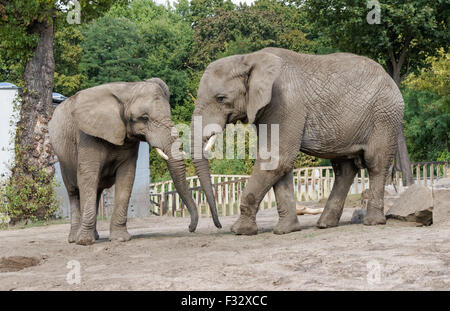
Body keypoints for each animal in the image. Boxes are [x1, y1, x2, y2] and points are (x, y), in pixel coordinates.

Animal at [48, 78, 200, 246]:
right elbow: (88, 177)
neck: (127, 89)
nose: (190, 228)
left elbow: (126, 177)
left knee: (96, 191)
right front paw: (84, 242)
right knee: (74, 191)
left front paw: (120, 239)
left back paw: (94, 236)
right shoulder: (87, 136)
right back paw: (74, 239)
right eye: (144, 118)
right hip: (63, 156)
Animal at [192, 47, 402, 235]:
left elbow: (277, 158)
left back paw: (372, 222)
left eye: (221, 98)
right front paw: (286, 230)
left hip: (384, 116)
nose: (218, 225)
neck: (248, 58)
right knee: (343, 169)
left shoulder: (284, 102)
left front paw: (240, 231)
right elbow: (278, 162)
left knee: (376, 163)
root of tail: (391, 80)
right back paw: (325, 225)